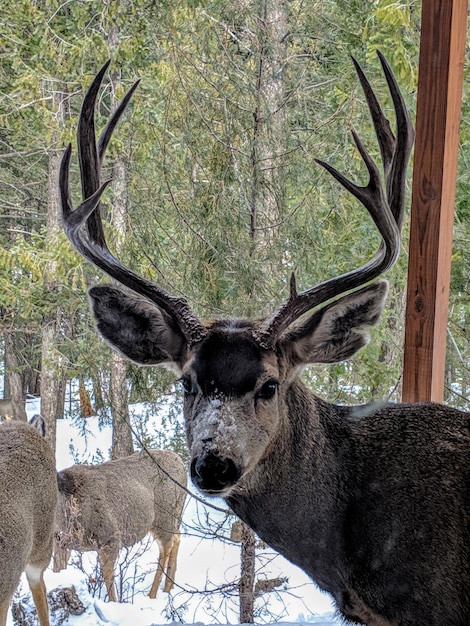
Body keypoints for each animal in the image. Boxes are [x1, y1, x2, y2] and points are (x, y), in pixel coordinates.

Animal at [53, 448, 187, 600]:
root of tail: (181, 463)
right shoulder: (60, 543)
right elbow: (56, 569)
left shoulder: (110, 537)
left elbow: (108, 578)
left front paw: (113, 602)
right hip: (174, 515)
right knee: (177, 536)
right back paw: (169, 588)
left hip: (164, 516)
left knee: (166, 546)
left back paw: (152, 594)